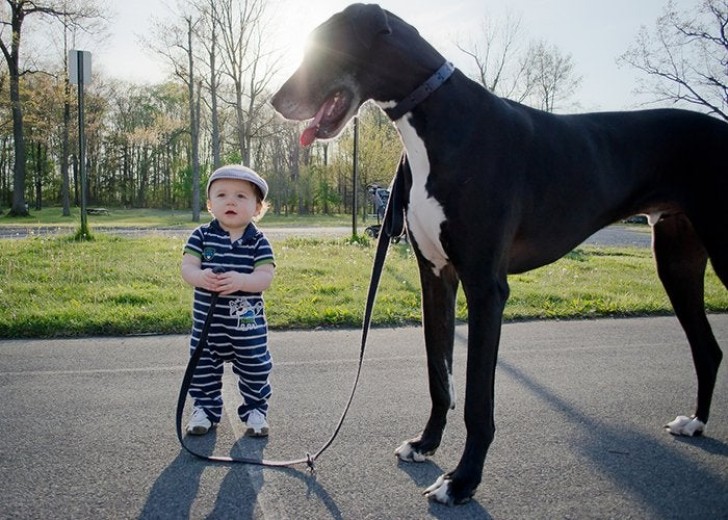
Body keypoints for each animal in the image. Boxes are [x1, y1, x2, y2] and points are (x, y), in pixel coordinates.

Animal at [270, 2, 724, 506]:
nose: (275, 100)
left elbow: (475, 400)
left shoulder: (486, 287)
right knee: (708, 349)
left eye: (324, 46)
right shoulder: (436, 277)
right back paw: (695, 422)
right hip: (676, 261)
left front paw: (462, 480)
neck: (438, 119)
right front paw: (426, 444)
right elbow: (439, 376)